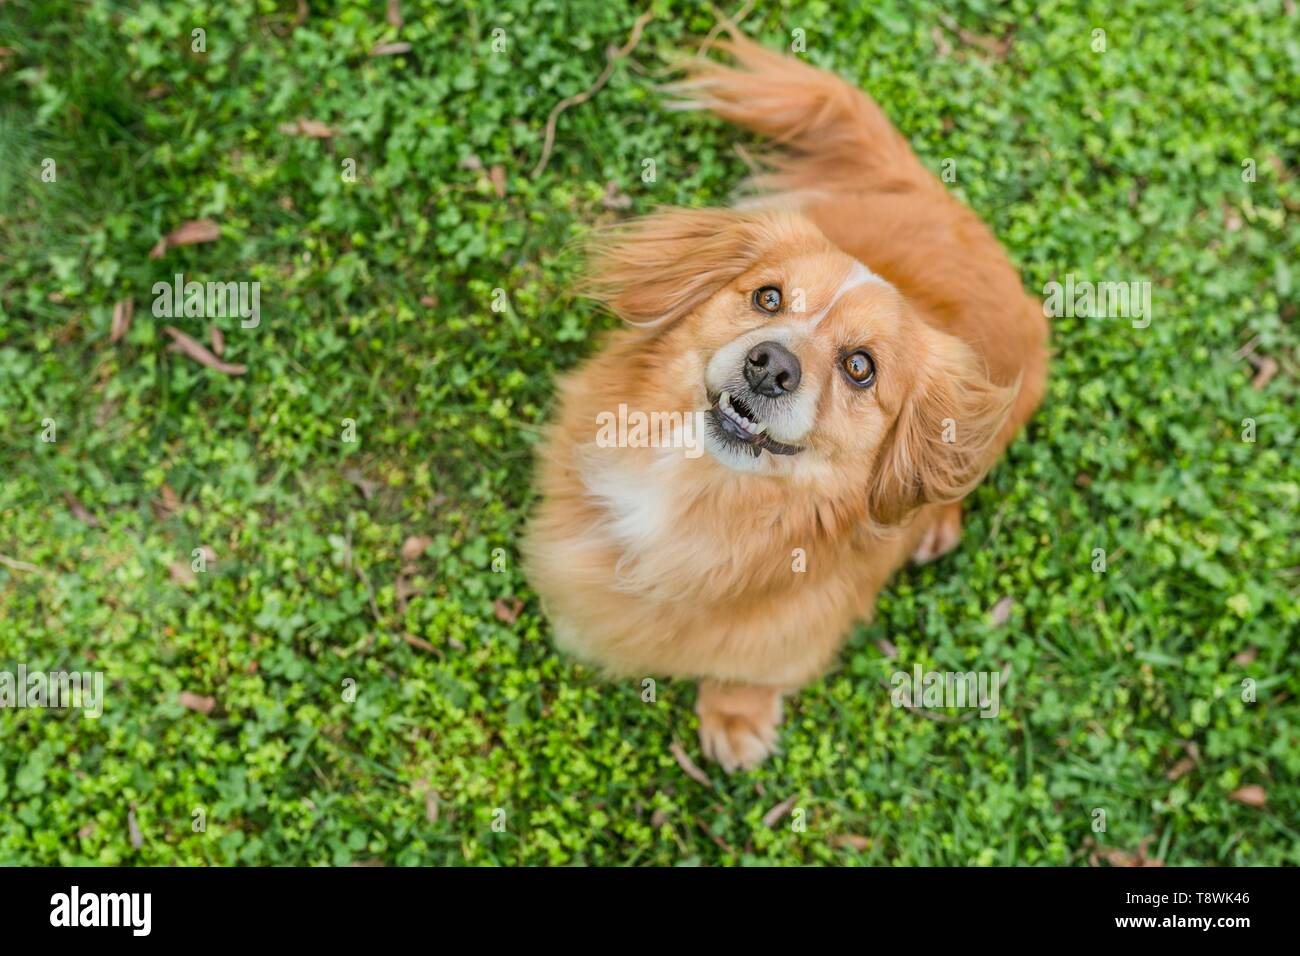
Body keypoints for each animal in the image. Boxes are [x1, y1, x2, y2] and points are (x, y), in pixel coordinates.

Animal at [517, 29, 1045, 775]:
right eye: (768, 297)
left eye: (860, 367)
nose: (771, 366)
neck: (700, 493)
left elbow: (751, 667)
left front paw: (735, 716)